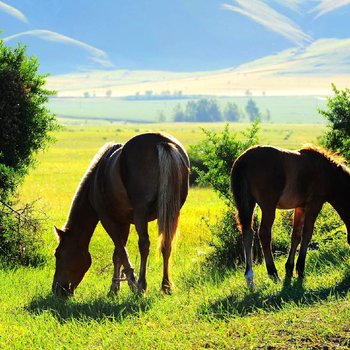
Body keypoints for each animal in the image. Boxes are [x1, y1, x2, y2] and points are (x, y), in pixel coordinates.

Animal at [52, 133, 189, 296]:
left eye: (58, 254)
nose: (56, 289)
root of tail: (161, 141)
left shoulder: (108, 220)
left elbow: (121, 251)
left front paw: (130, 282)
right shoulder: (124, 222)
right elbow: (117, 253)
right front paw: (115, 287)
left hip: (141, 214)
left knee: (144, 244)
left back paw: (141, 285)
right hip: (172, 212)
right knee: (166, 243)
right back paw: (166, 286)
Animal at [230, 144, 350, 288]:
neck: (328, 173)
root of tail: (244, 160)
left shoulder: (300, 207)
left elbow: (295, 236)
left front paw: (289, 268)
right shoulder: (314, 205)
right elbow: (307, 234)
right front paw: (300, 269)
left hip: (247, 204)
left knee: (248, 233)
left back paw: (250, 278)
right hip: (268, 206)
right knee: (264, 233)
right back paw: (273, 274)